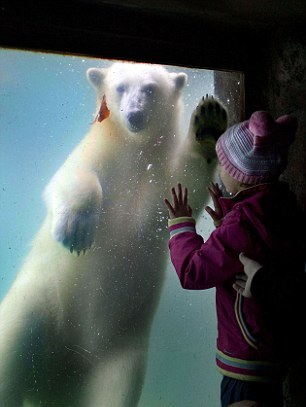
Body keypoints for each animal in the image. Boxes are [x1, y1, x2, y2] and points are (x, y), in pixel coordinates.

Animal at [0, 61, 227, 407]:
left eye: (150, 89)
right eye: (120, 87)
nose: (134, 115)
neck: (133, 152)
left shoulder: (155, 176)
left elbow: (181, 187)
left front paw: (208, 125)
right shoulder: (98, 155)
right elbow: (72, 176)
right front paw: (76, 230)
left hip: (119, 352)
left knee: (114, 390)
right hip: (37, 305)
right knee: (11, 353)